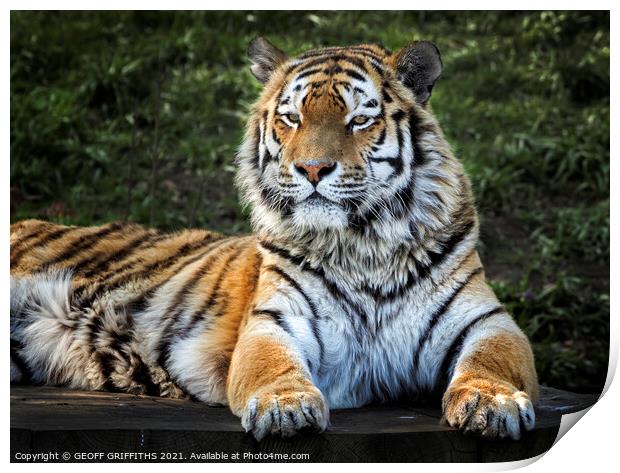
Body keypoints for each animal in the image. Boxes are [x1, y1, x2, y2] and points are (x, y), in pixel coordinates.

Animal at [9, 37, 536, 438]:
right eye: (292, 118)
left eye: (359, 120)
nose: (313, 169)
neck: (363, 243)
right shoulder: (274, 321)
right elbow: (273, 365)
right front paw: (286, 407)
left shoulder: (486, 321)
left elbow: (493, 361)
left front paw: (493, 404)